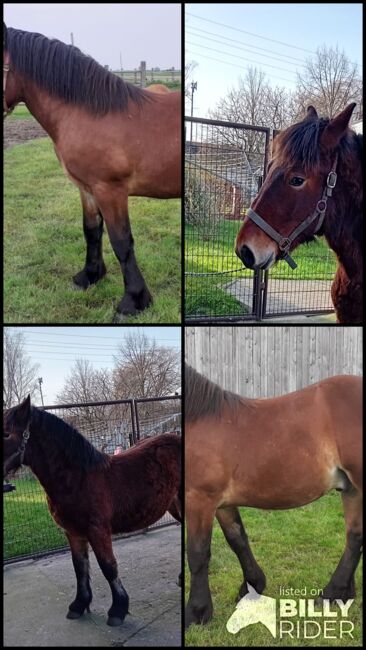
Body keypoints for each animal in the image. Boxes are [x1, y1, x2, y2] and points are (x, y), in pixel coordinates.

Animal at [2, 25, 180, 318]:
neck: (92, 114)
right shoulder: (87, 188)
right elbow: (91, 230)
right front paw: (90, 276)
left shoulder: (111, 190)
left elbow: (122, 242)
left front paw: (133, 301)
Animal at [3, 394, 182, 624]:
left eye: (6, 433)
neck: (78, 479)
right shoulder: (73, 533)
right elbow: (79, 568)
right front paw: (79, 604)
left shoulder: (98, 531)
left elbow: (108, 567)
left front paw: (118, 610)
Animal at [184, 362, 362, 624]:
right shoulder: (221, 504)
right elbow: (237, 539)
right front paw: (252, 586)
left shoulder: (199, 499)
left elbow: (197, 553)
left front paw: (196, 612)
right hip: (351, 489)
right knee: (355, 537)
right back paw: (337, 594)